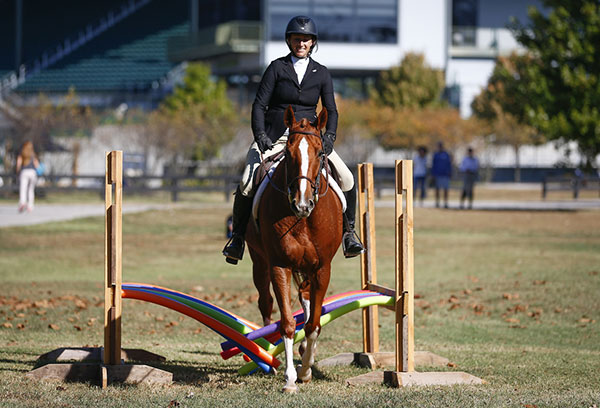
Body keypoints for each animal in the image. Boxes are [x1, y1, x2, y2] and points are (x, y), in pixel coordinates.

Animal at [245, 105, 342, 392]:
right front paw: (290, 379)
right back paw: (266, 354)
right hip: (259, 261)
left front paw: (306, 369)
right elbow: (287, 322)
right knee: (266, 303)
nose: (302, 204)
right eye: (288, 154)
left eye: (320, 152)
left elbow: (313, 324)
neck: (302, 220)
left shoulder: (322, 269)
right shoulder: (280, 265)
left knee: (307, 300)